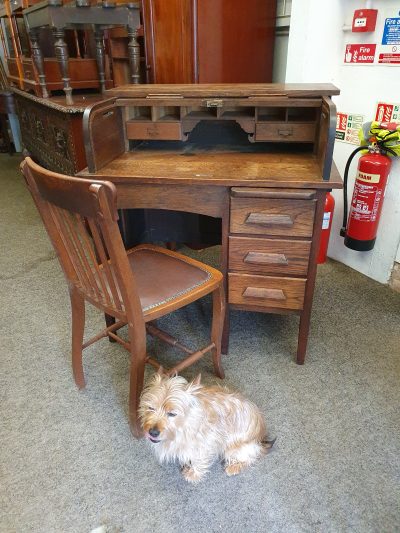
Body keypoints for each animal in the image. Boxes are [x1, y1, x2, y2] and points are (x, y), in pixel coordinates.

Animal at [139, 370, 274, 482]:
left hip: (235, 448)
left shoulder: (206, 442)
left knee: (250, 457)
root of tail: (261, 437)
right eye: (150, 408)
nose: (152, 432)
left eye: (172, 413)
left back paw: (234, 467)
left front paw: (193, 474)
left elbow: (199, 459)